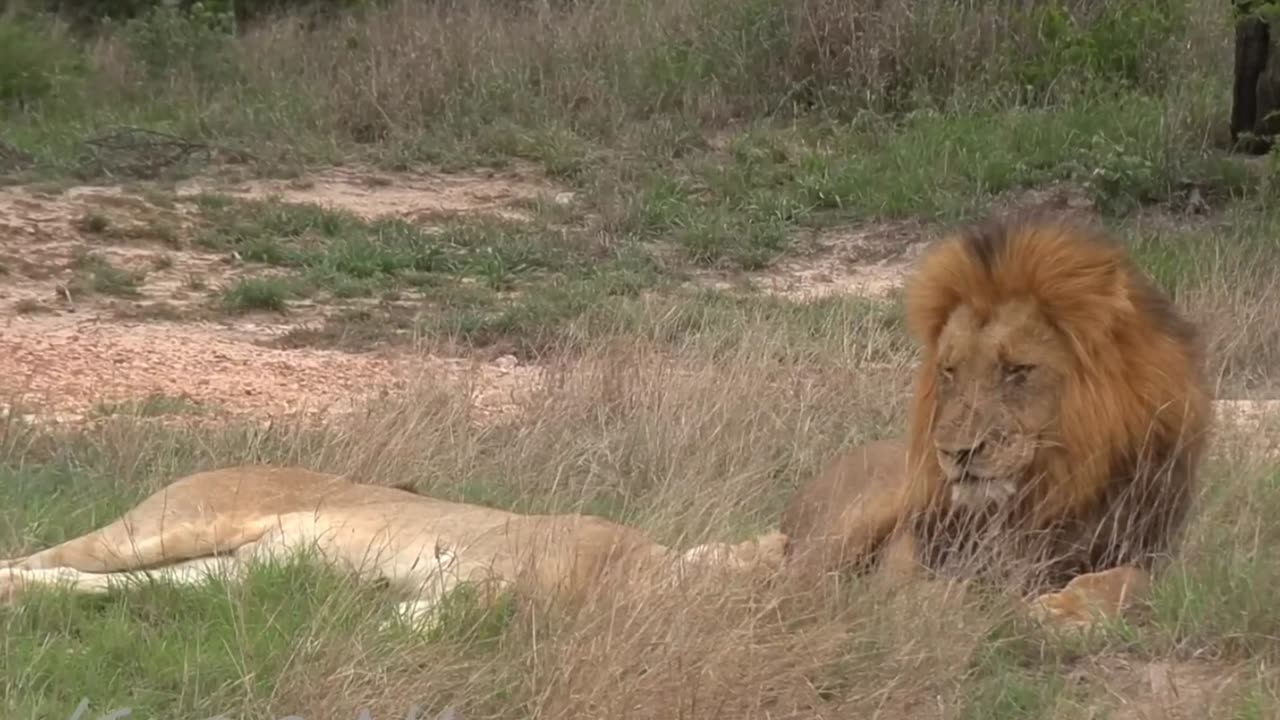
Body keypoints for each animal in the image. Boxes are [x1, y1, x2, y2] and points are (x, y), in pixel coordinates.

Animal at [778, 211, 1208, 622]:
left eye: (1016, 370)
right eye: (949, 370)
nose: (955, 452)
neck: (1046, 493)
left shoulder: (1154, 552)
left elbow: (1127, 580)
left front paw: (1064, 612)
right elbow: (917, 588)